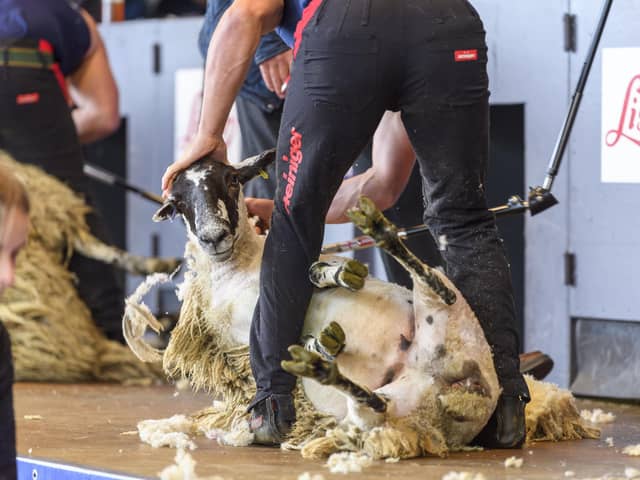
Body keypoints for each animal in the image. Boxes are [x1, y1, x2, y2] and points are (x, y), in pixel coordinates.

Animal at [126, 151, 600, 462]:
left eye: (230, 180)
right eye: (179, 203)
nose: (213, 237)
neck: (239, 267)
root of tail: (454, 400)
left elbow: (314, 269)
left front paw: (334, 275)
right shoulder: (238, 336)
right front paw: (318, 325)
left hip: (442, 327)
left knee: (431, 282)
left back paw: (378, 236)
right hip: (392, 402)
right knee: (376, 397)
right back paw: (321, 357)